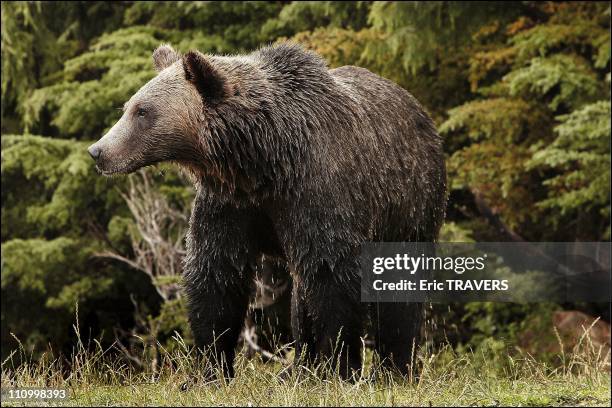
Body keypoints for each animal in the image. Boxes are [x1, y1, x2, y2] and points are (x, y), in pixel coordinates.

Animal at [88, 43, 448, 378]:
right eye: (129, 107)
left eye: (142, 111)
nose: (97, 150)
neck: (264, 161)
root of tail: (418, 108)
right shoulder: (231, 204)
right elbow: (216, 275)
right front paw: (210, 369)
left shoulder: (318, 193)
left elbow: (332, 275)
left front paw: (339, 367)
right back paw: (301, 368)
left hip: (409, 203)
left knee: (398, 294)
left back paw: (394, 369)